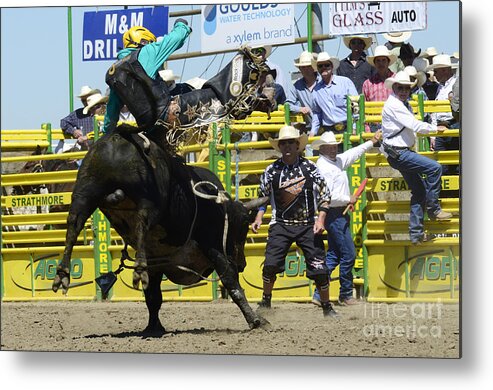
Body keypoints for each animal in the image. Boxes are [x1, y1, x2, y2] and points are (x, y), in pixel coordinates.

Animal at [52, 126, 270, 334]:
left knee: (74, 225)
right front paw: (256, 320)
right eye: (243, 226)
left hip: (85, 192)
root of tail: (119, 136)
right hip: (148, 198)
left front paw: (153, 326)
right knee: (141, 222)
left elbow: (153, 296)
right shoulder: (212, 245)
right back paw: (137, 267)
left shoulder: (156, 260)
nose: (242, 264)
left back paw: (62, 273)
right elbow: (231, 282)